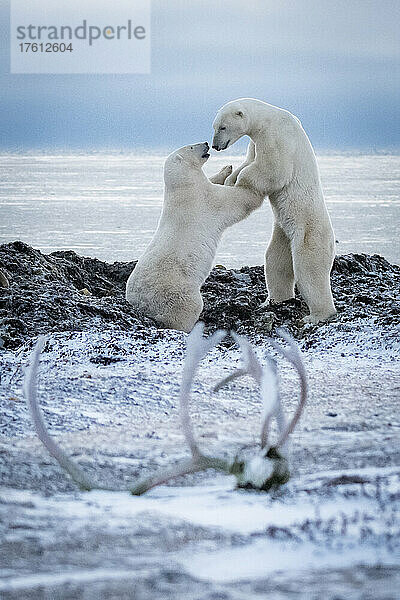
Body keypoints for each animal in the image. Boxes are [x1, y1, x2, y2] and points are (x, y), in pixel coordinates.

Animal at [126, 144, 266, 336]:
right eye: (192, 146)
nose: (206, 143)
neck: (182, 187)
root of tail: (142, 306)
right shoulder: (205, 200)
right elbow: (236, 201)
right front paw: (254, 186)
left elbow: (214, 181)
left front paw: (226, 168)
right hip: (180, 295)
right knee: (187, 311)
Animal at [212, 97, 338, 324]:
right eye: (214, 126)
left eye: (223, 127)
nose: (216, 145)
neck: (267, 117)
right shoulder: (256, 141)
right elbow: (249, 160)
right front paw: (230, 178)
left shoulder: (277, 136)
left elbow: (272, 169)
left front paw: (240, 180)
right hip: (283, 231)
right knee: (275, 261)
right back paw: (274, 301)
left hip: (309, 232)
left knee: (310, 269)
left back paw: (316, 315)